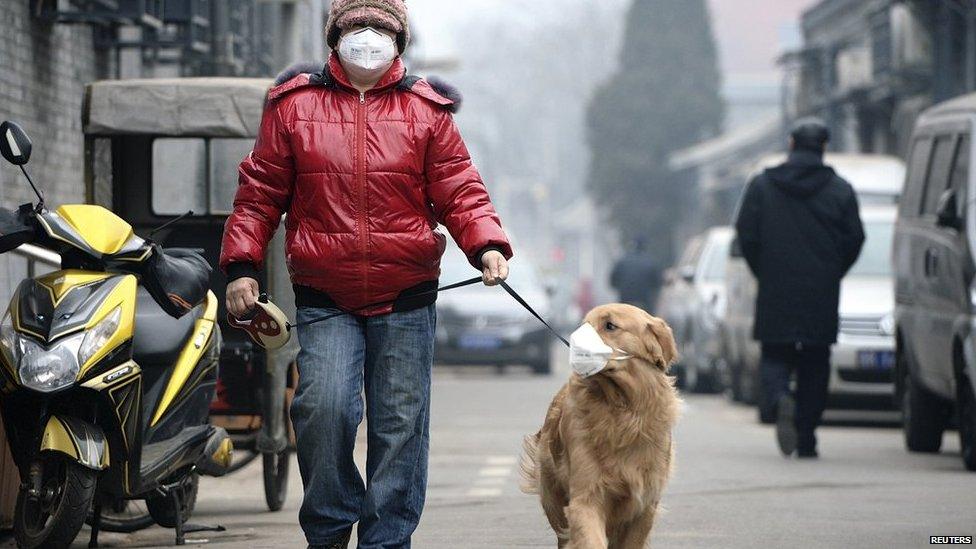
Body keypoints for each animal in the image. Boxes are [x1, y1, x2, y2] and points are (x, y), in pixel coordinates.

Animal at [520, 302, 680, 544]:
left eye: (610, 325)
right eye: (584, 323)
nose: (575, 343)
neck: (622, 411)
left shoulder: (644, 506)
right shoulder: (585, 498)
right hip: (554, 497)